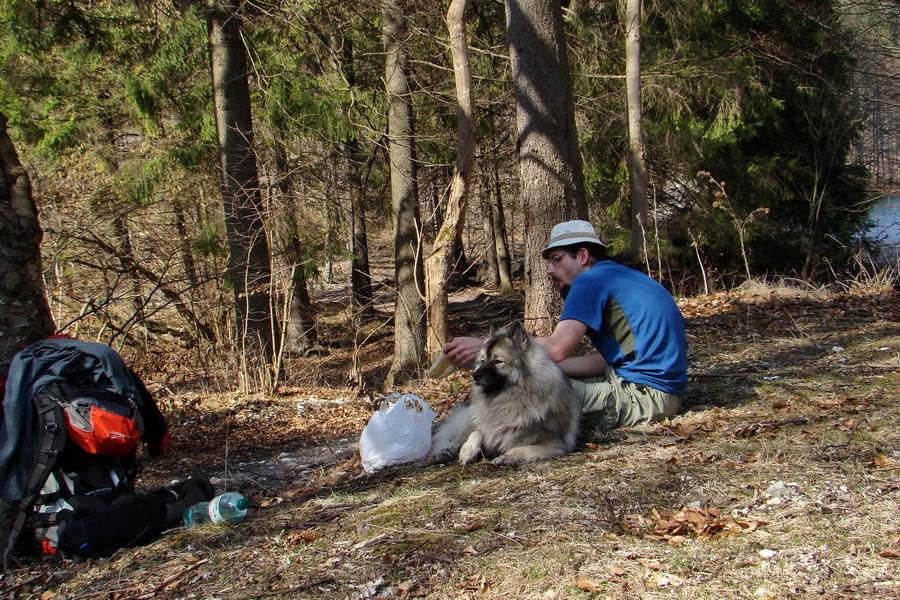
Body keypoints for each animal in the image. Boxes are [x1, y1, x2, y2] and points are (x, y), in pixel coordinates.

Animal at [430, 322, 584, 466]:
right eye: (482, 361)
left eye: (498, 361)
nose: (475, 375)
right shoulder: (487, 428)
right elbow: (477, 432)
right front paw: (468, 451)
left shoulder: (555, 444)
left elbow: (522, 449)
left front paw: (505, 458)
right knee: (455, 439)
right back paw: (445, 452)